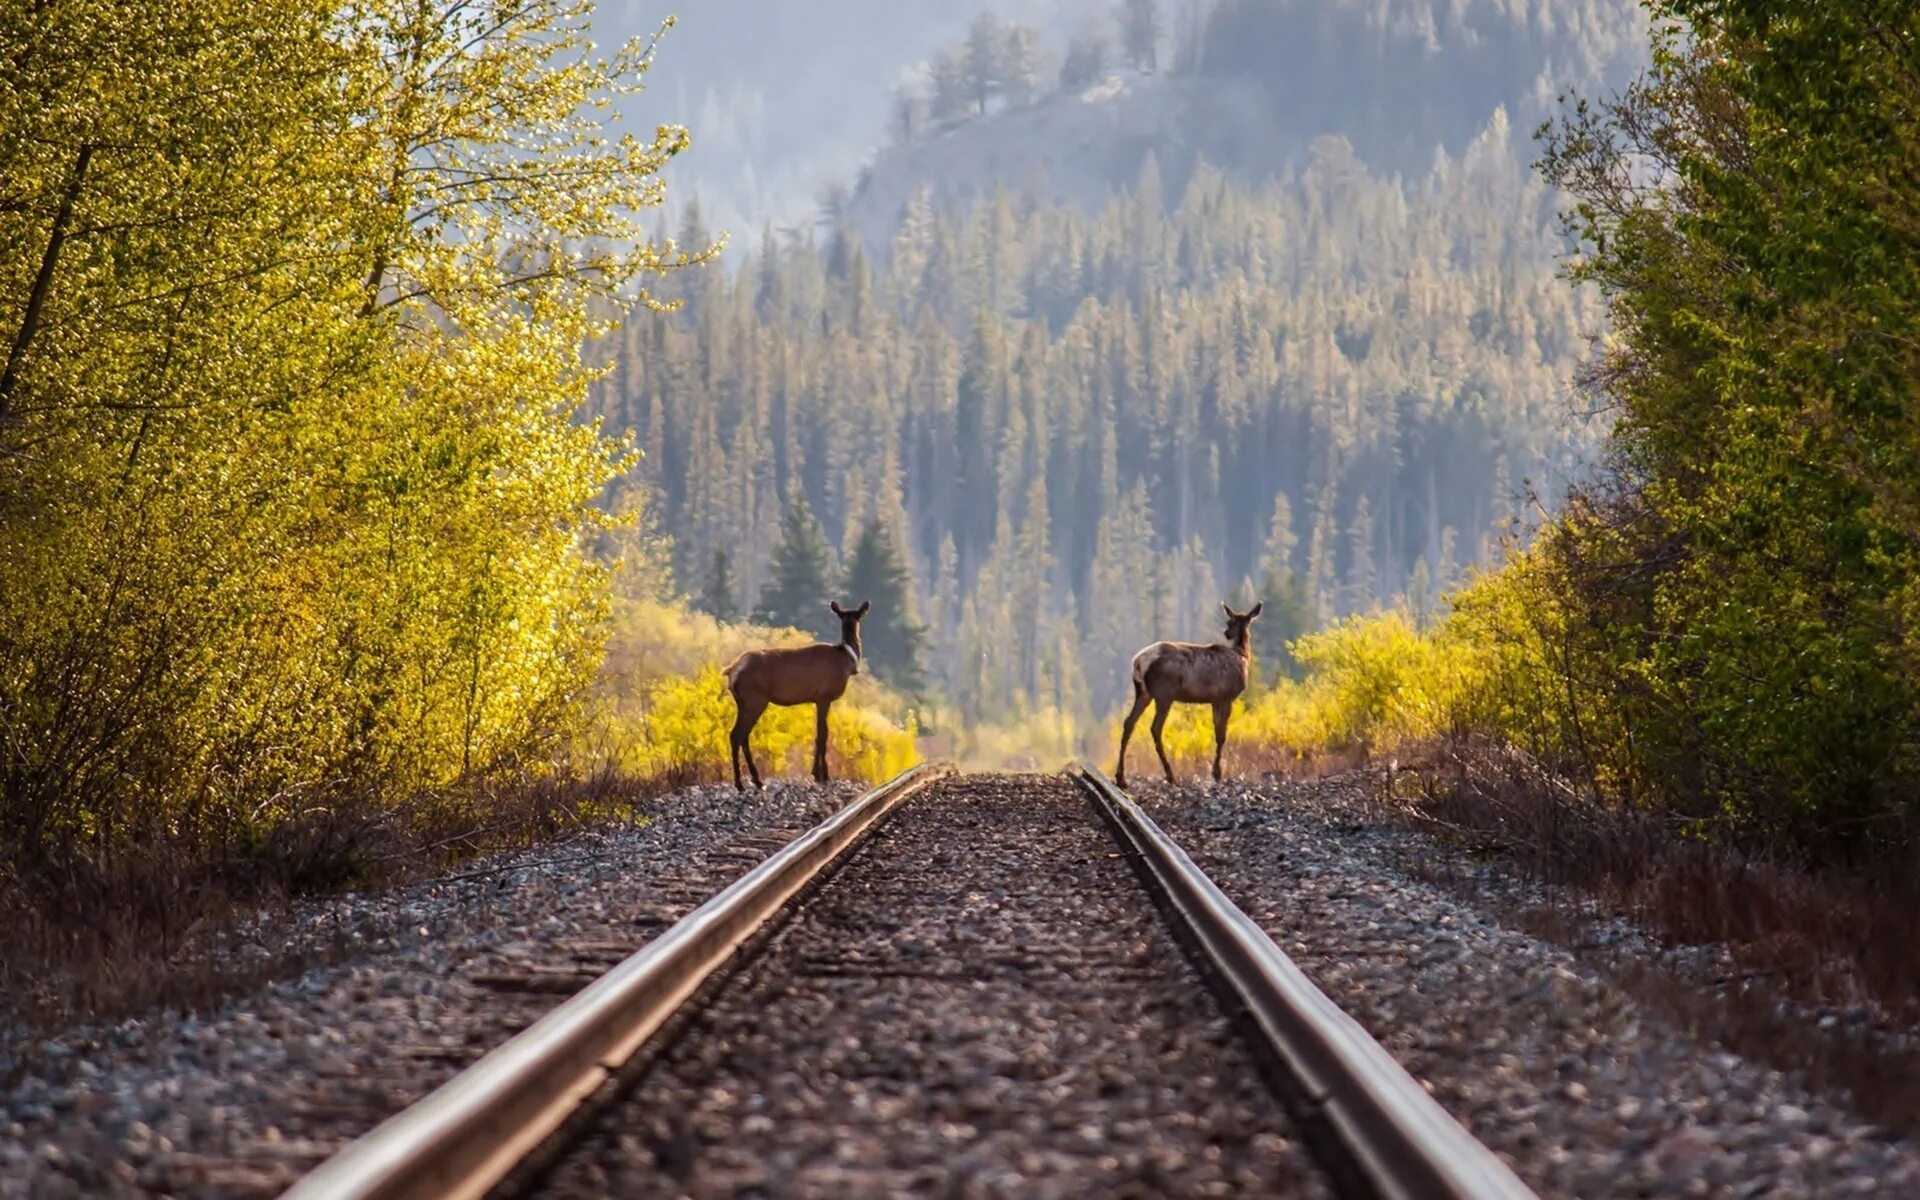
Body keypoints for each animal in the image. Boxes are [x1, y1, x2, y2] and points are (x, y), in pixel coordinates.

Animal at [721, 595, 871, 787]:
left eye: (855, 615)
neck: (846, 662)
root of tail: (732, 670)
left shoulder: (817, 699)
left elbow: (818, 733)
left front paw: (817, 773)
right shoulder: (824, 695)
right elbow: (823, 734)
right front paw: (822, 775)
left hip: (742, 702)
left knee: (737, 735)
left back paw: (750, 780)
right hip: (755, 700)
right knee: (740, 734)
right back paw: (747, 781)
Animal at [1113, 599, 1259, 787]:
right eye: (1229, 621)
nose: (1227, 633)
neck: (1243, 655)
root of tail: (1138, 662)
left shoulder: (1215, 700)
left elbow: (1216, 732)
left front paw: (1216, 771)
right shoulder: (1227, 697)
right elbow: (1221, 735)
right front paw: (1217, 773)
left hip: (1143, 692)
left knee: (1129, 723)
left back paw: (1121, 777)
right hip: (1164, 693)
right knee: (1155, 728)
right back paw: (1170, 775)